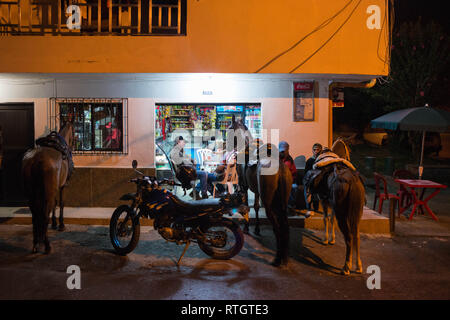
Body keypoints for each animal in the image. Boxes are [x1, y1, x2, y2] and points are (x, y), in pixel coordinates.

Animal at [22, 121, 74, 254]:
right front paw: (61, 224)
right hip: (47, 193)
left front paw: (54, 223)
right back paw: (47, 245)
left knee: (35, 216)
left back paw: (36, 244)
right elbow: (61, 203)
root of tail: (35, 160)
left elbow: (54, 204)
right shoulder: (62, 186)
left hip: (32, 194)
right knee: (45, 215)